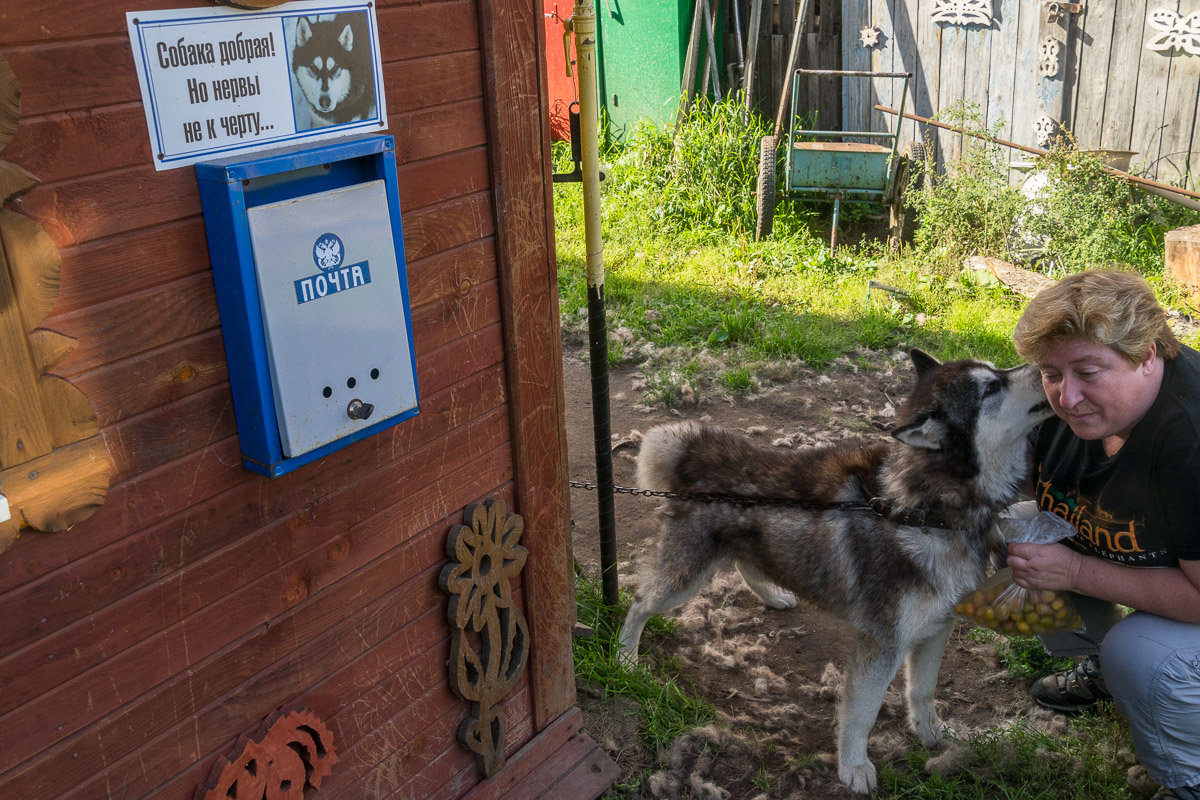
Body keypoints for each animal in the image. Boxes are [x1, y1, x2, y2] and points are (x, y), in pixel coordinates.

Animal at [619, 352, 1051, 796]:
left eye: (996, 370)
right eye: (991, 388)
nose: (1045, 368)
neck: (927, 513)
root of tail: (702, 452)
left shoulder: (936, 628)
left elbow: (923, 690)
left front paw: (932, 734)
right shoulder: (883, 643)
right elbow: (862, 713)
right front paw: (854, 765)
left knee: (744, 562)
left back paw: (773, 595)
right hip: (684, 577)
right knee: (640, 603)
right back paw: (624, 659)